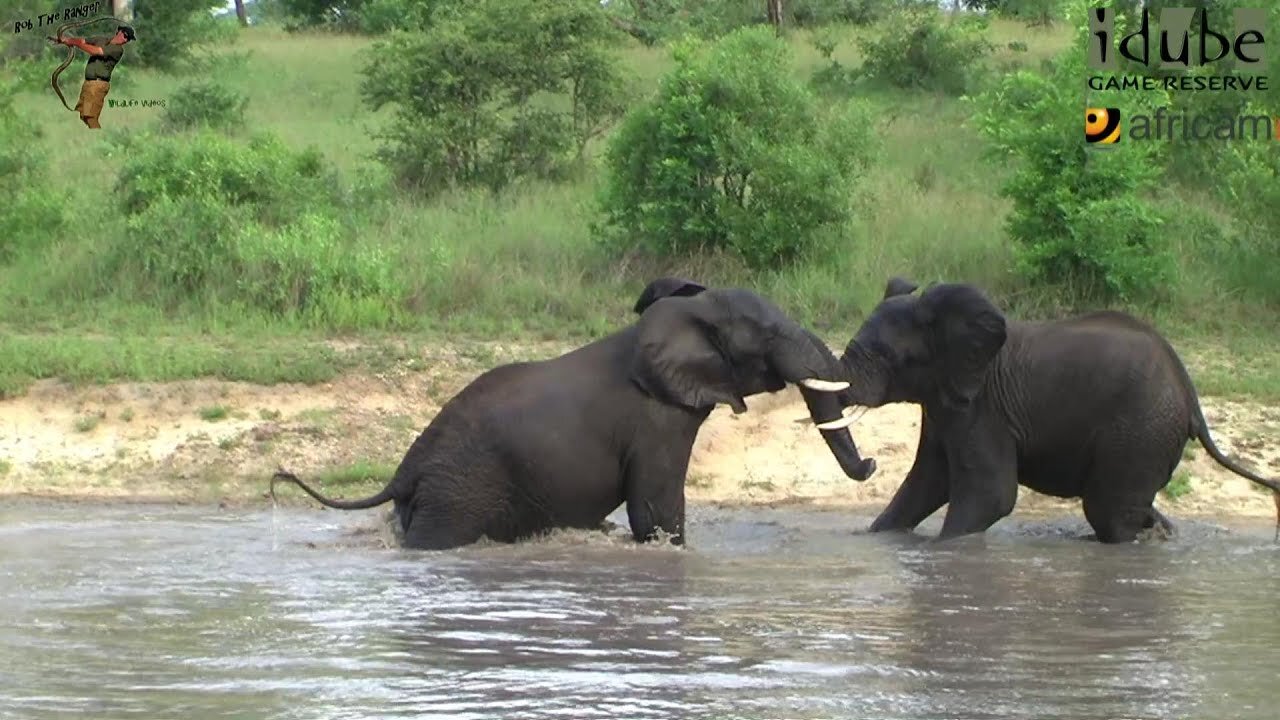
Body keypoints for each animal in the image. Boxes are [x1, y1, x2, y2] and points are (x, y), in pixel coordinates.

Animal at [267, 278, 870, 545]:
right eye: (768, 336)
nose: (871, 467)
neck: (686, 311)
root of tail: (403, 472)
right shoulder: (657, 420)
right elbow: (656, 511)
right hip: (456, 499)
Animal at [819, 278, 1280, 540]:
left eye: (886, 356)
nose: (871, 463)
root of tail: (1190, 394)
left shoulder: (983, 406)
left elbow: (990, 495)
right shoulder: (946, 398)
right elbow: (926, 483)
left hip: (1141, 428)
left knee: (1109, 513)